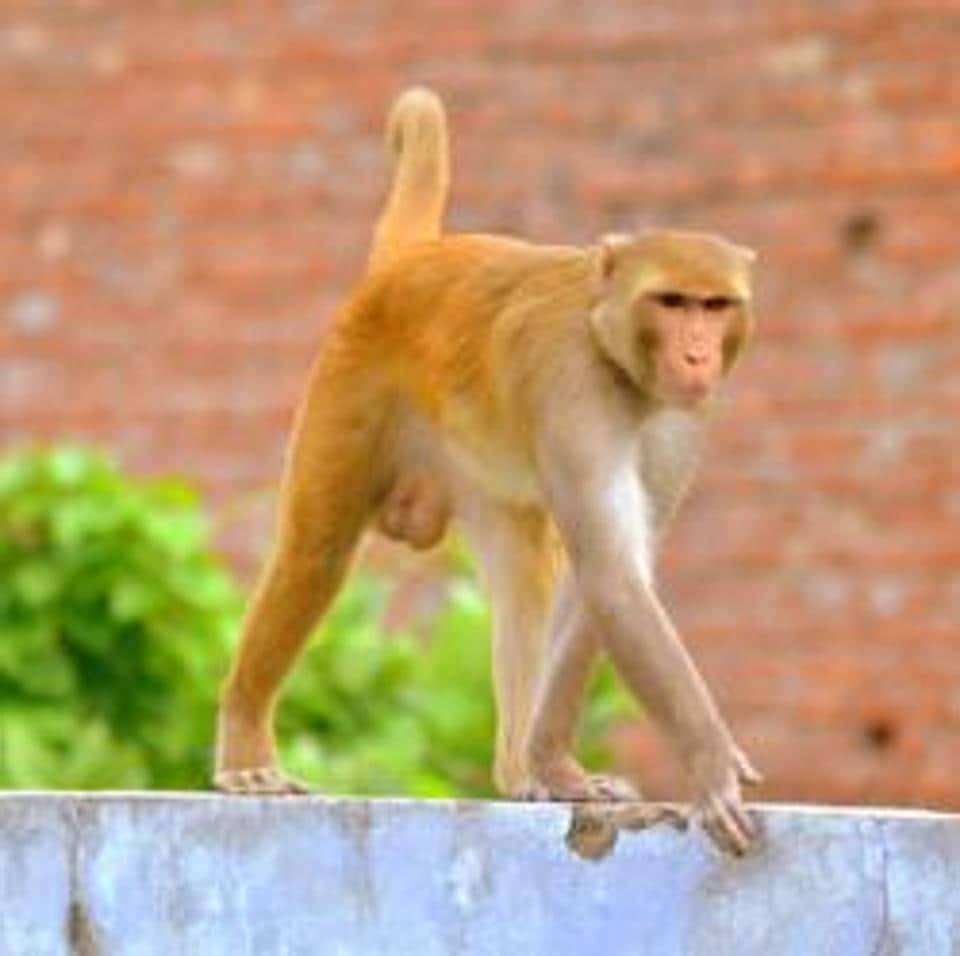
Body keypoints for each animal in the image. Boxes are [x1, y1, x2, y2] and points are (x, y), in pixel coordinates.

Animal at [214, 86, 763, 856]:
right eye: (672, 301)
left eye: (716, 306)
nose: (696, 354)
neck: (615, 358)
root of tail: (415, 257)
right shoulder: (572, 387)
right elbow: (613, 577)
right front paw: (711, 765)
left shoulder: (683, 423)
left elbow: (605, 579)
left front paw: (557, 766)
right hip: (351, 388)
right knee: (313, 553)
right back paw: (245, 747)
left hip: (478, 472)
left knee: (524, 575)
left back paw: (518, 765)